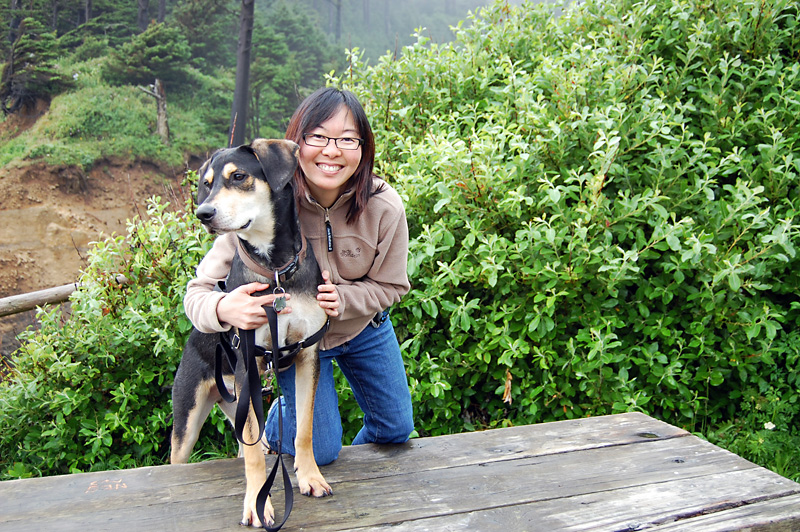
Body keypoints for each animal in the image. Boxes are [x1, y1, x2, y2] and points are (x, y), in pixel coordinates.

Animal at [169, 139, 332, 524]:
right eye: (207, 183)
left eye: (238, 176)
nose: (203, 213)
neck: (275, 271)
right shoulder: (249, 363)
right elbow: (255, 453)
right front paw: (257, 503)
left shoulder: (308, 356)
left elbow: (304, 429)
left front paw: (310, 476)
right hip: (190, 419)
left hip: (237, 402)